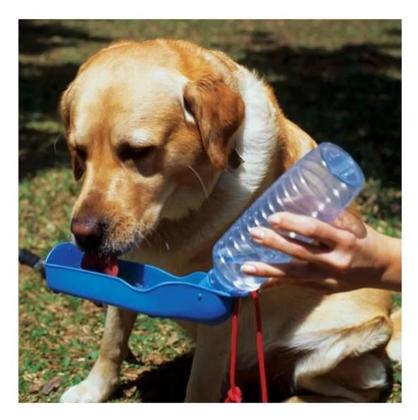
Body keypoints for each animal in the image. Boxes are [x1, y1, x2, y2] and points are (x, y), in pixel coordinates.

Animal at [57, 40, 400, 404]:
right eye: (79, 152)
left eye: (138, 151)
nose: (83, 235)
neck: (176, 219)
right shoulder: (124, 270)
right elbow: (112, 340)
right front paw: (94, 389)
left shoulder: (219, 315)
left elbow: (199, 386)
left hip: (341, 347)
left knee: (360, 392)